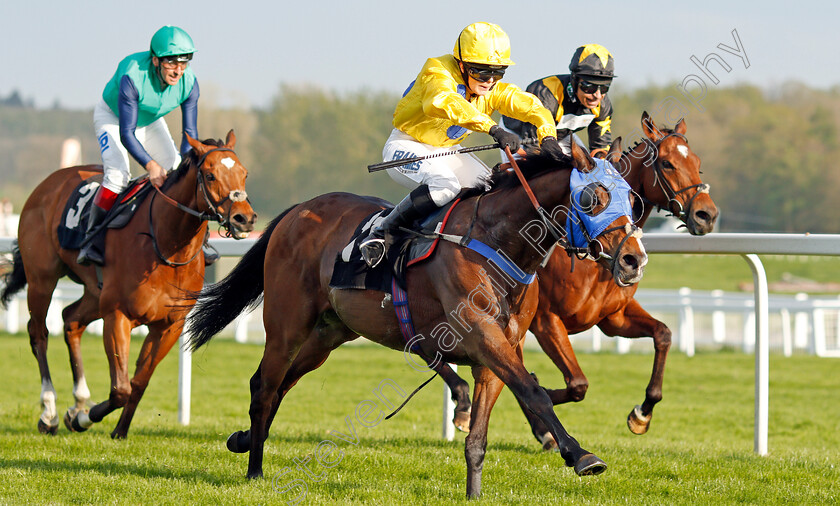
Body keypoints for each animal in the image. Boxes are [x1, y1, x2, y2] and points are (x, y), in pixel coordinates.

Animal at [0, 130, 256, 438]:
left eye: (244, 173)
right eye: (210, 175)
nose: (244, 218)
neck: (166, 246)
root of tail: (50, 182)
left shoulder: (169, 326)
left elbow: (138, 383)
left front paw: (118, 431)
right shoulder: (117, 315)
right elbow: (120, 388)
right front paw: (84, 419)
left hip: (94, 293)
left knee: (71, 320)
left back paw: (79, 400)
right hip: (42, 278)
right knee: (39, 333)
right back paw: (49, 411)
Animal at [182, 139, 644, 498]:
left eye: (632, 199)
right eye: (593, 198)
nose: (633, 259)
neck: (498, 241)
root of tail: (297, 211)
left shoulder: (498, 349)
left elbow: (480, 435)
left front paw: (474, 492)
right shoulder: (483, 336)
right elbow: (534, 393)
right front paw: (580, 454)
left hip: (327, 335)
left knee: (280, 384)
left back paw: (244, 440)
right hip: (286, 325)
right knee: (265, 386)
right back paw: (255, 469)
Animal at [440, 112, 720, 448]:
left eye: (697, 162)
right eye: (667, 164)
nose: (707, 215)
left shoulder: (613, 318)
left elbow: (663, 334)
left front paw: (642, 413)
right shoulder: (546, 322)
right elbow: (576, 384)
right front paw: (542, 398)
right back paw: (465, 406)